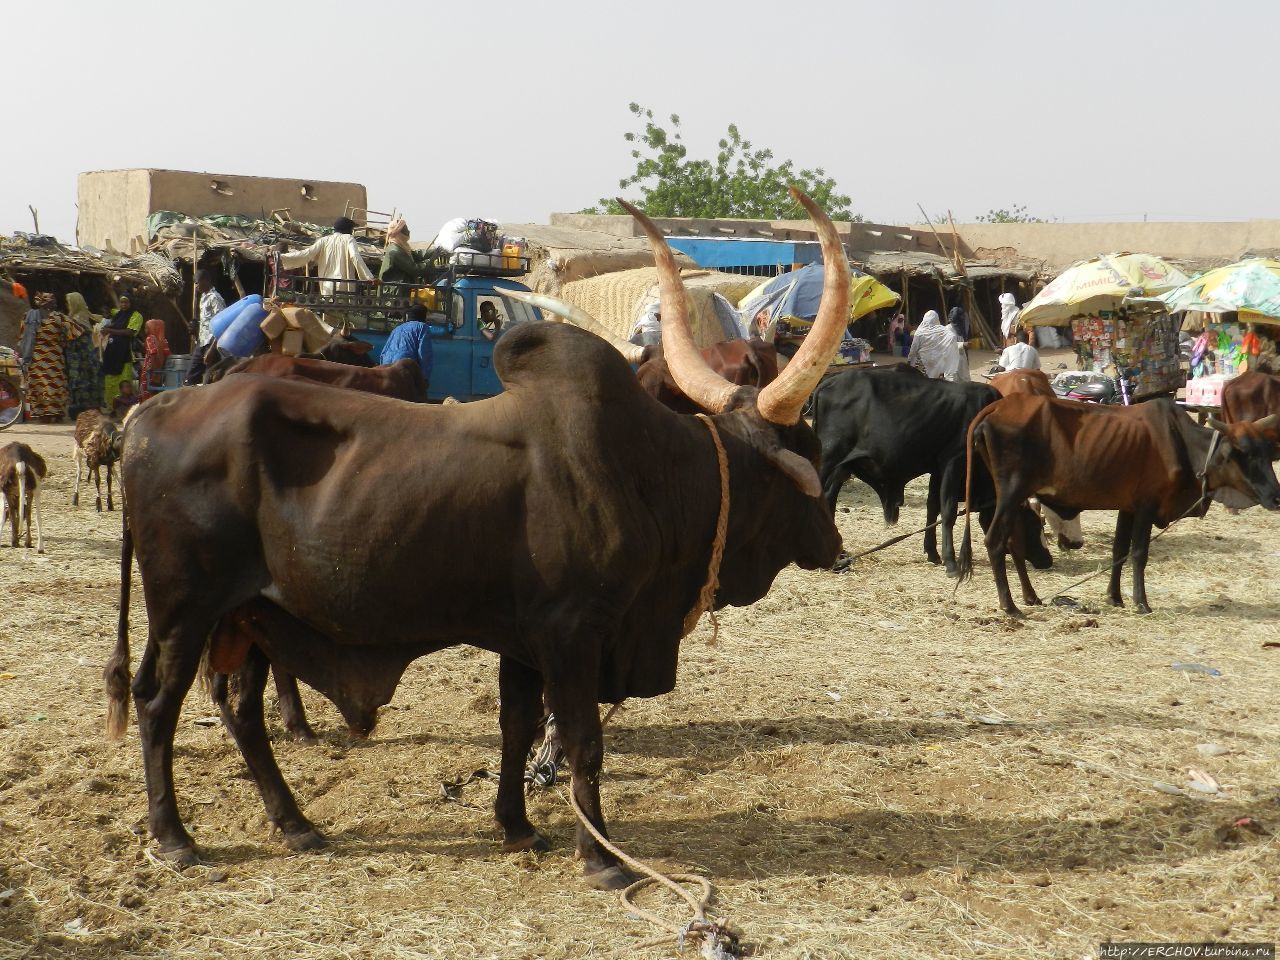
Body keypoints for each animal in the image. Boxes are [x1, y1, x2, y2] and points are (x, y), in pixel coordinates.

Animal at [962, 396, 1280, 616]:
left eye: (1267, 452)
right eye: (1243, 453)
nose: (1276, 497)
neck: (1181, 441)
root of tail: (998, 406)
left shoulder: (1127, 507)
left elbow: (1119, 551)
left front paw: (1114, 597)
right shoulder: (1146, 506)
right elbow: (1139, 554)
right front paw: (1141, 602)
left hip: (1015, 499)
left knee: (1014, 544)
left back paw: (1030, 597)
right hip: (1011, 492)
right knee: (994, 541)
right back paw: (1010, 606)